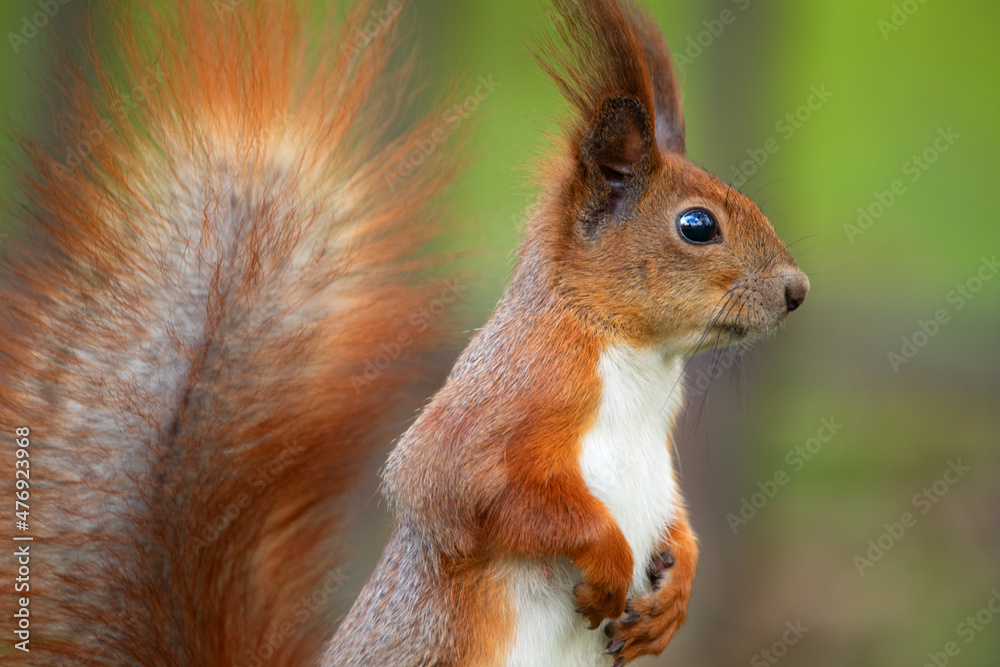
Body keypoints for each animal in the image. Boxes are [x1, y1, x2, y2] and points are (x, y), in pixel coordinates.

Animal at [0, 0, 804, 664]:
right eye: (696, 226)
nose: (797, 292)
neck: (638, 357)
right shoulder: (512, 394)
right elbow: (455, 486)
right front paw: (606, 557)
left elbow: (677, 523)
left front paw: (677, 590)